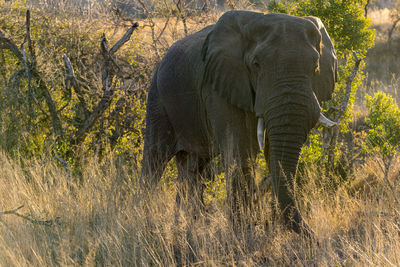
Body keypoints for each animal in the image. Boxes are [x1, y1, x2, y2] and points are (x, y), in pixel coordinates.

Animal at [141, 9, 338, 232]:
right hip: (157, 99)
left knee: (193, 166)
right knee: (154, 160)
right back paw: (146, 222)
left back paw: (188, 224)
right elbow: (239, 151)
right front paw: (244, 231)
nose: (313, 234)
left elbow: (272, 151)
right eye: (256, 65)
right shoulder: (218, 84)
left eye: (315, 67)